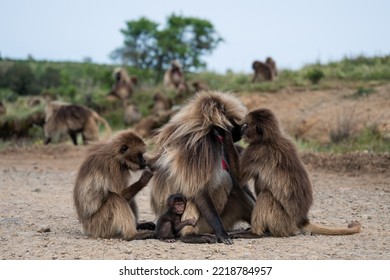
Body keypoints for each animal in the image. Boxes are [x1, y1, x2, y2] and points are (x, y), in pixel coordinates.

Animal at [148, 91, 254, 244]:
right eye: (234, 121)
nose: (243, 128)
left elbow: (240, 182)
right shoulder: (199, 149)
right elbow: (199, 191)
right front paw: (222, 234)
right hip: (202, 224)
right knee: (218, 183)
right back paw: (190, 236)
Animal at [230, 107, 362, 238]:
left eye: (246, 125)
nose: (241, 129)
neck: (268, 139)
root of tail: (301, 221)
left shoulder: (255, 152)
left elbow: (238, 179)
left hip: (282, 221)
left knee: (266, 195)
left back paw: (255, 233)